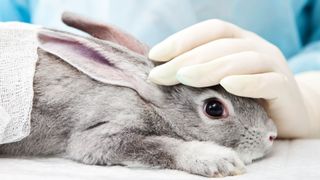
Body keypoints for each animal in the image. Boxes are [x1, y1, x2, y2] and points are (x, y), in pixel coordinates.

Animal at [0, 12, 276, 177]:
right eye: (214, 108)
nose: (272, 135)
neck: (147, 101)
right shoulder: (101, 134)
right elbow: (160, 145)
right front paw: (218, 160)